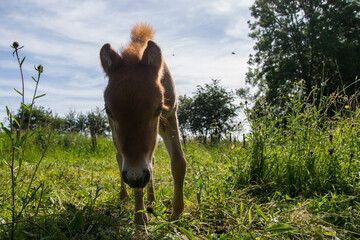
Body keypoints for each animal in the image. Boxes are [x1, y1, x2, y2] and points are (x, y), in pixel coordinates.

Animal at [100, 23, 187, 224]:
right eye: (108, 111)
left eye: (157, 109)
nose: (135, 175)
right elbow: (133, 174)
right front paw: (140, 220)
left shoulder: (170, 117)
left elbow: (179, 162)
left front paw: (176, 213)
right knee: (119, 157)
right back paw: (124, 197)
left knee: (151, 162)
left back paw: (152, 200)